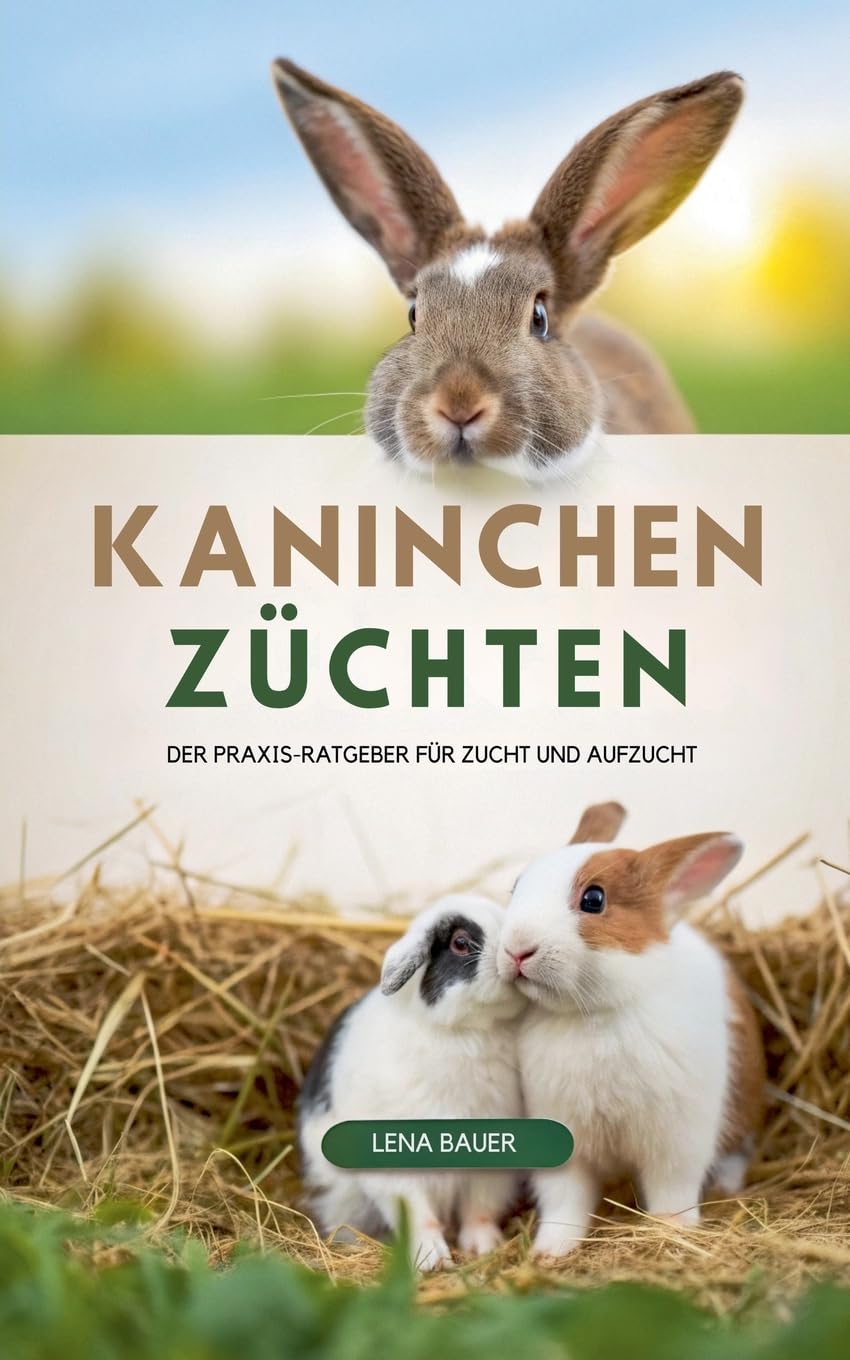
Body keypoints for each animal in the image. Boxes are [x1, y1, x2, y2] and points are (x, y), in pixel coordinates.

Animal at [297, 893, 526, 1271]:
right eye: (460, 943)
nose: (515, 956)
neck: (467, 1033)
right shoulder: (395, 1169)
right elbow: (419, 1216)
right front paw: (432, 1260)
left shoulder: (494, 1162)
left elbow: (479, 1209)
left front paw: (484, 1248)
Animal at [497, 804, 765, 1260]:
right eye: (517, 885)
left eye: (594, 899)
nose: (517, 949)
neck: (594, 1014)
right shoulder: (564, 1145)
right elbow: (565, 1202)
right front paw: (550, 1251)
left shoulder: (677, 1142)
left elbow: (672, 1192)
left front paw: (672, 1231)